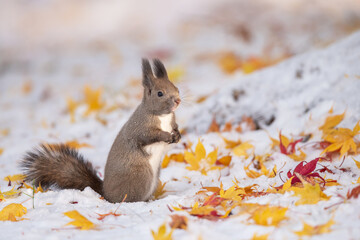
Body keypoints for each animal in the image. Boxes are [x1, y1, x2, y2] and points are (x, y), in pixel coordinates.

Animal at [19, 58, 180, 202]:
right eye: (160, 93)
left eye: (177, 88)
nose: (178, 100)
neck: (162, 116)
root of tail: (105, 193)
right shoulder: (140, 127)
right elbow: (148, 135)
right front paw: (166, 136)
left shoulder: (171, 121)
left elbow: (175, 127)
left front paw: (177, 135)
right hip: (141, 176)